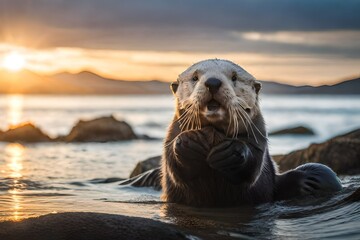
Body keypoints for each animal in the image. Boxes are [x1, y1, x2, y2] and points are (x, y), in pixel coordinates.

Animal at [125, 59, 342, 206]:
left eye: (234, 77)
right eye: (195, 77)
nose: (212, 82)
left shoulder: (258, 138)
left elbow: (252, 164)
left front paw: (230, 152)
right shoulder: (171, 136)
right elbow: (174, 163)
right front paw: (189, 144)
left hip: (321, 173)